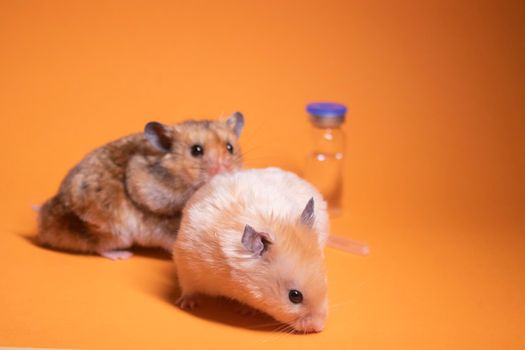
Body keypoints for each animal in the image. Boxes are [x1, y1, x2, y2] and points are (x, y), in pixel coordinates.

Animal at [37, 112, 246, 260]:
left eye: (230, 147)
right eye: (196, 150)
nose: (225, 170)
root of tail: (43, 226)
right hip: (113, 230)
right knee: (98, 246)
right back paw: (122, 255)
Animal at [172, 168, 328, 332]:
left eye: (325, 281)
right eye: (295, 296)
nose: (320, 327)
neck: (234, 284)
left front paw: (246, 311)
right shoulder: (186, 264)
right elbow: (188, 287)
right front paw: (187, 304)